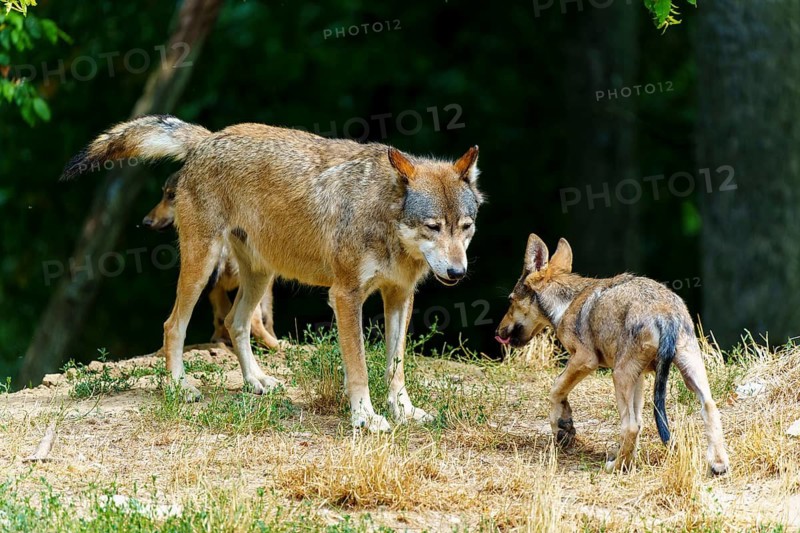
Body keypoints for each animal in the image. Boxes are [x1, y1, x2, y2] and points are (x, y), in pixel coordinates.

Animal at [142, 172, 280, 349]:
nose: (145, 222)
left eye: (171, 196)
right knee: (251, 321)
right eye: (165, 195)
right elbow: (267, 316)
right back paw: (278, 345)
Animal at [496, 234, 729, 474]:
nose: (498, 332)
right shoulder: (640, 377)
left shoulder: (584, 359)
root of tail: (665, 314)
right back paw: (718, 464)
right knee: (709, 407)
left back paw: (614, 467)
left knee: (630, 426)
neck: (565, 302)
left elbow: (555, 388)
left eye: (510, 300)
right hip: (689, 371)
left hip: (619, 375)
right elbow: (640, 419)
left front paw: (562, 427)